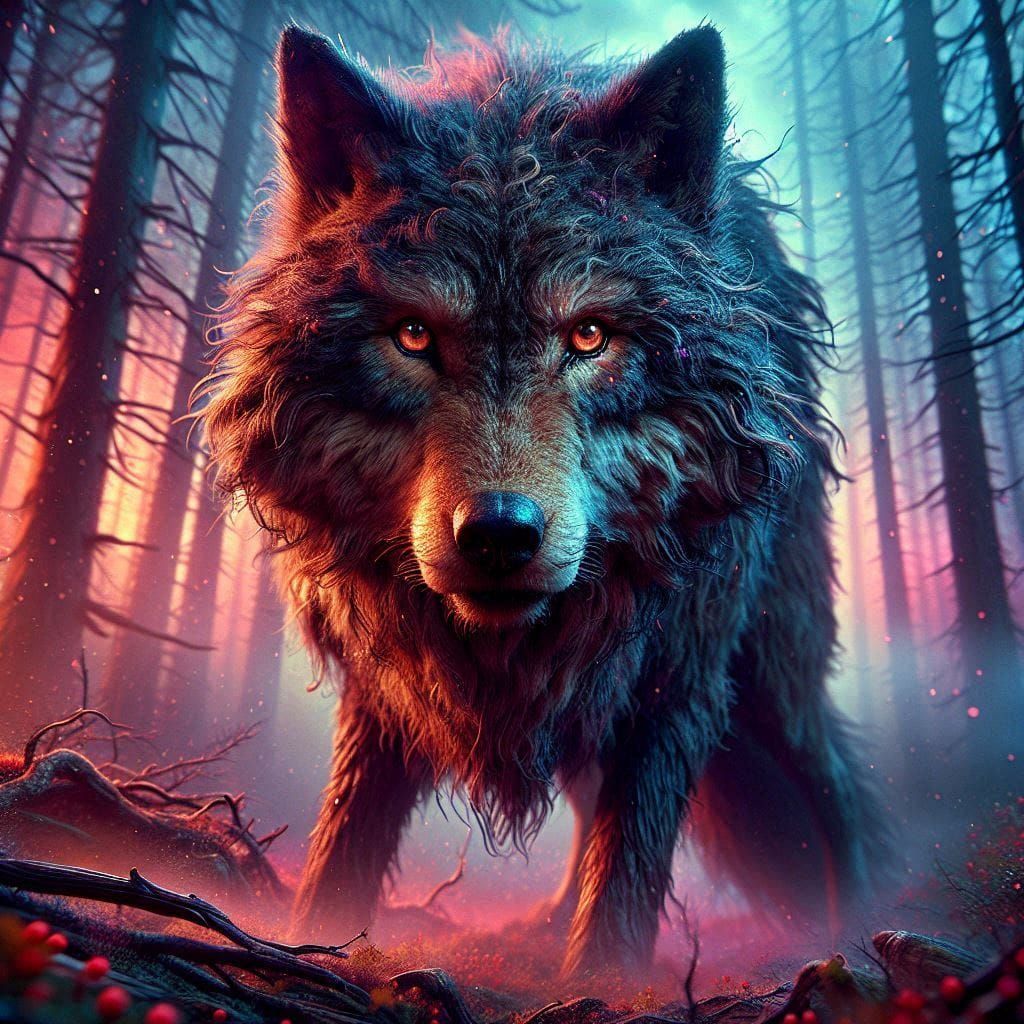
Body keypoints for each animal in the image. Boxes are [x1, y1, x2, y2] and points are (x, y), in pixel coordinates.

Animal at [201, 23, 883, 977]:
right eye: (413, 335)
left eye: (589, 335)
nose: (497, 535)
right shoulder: (388, 678)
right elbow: (346, 842)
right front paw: (305, 945)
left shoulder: (676, 677)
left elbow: (630, 867)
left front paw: (603, 985)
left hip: (771, 669)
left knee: (834, 787)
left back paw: (864, 930)